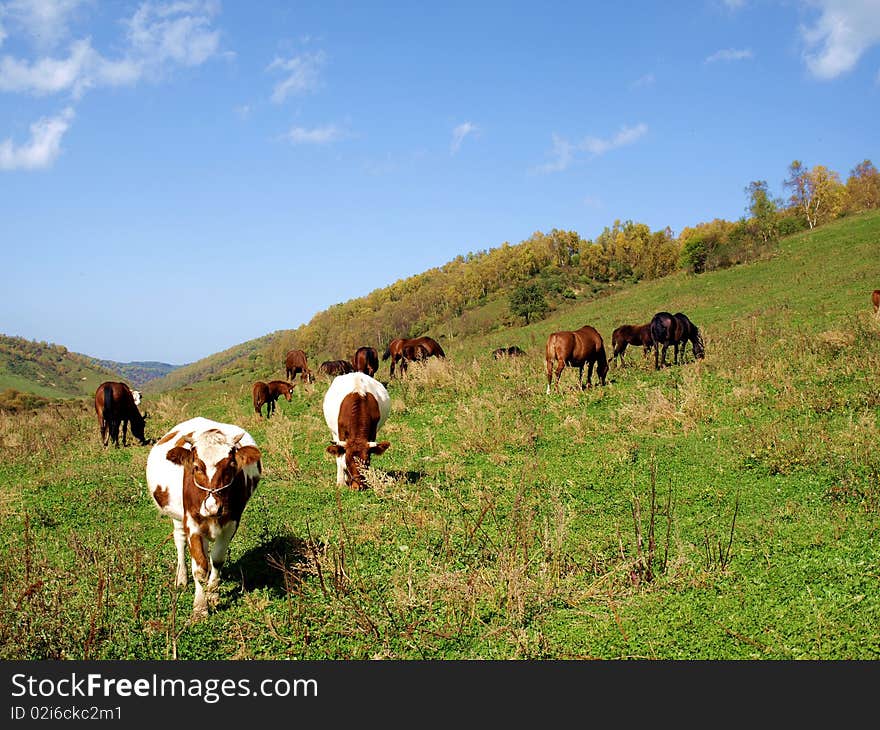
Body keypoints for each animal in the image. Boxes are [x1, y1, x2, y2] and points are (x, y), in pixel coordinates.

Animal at [144, 416, 260, 616]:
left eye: (230, 466)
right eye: (197, 467)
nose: (213, 507)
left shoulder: (231, 524)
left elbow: (217, 560)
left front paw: (213, 595)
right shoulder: (192, 523)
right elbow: (199, 567)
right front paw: (199, 607)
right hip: (177, 517)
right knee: (180, 541)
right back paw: (181, 579)